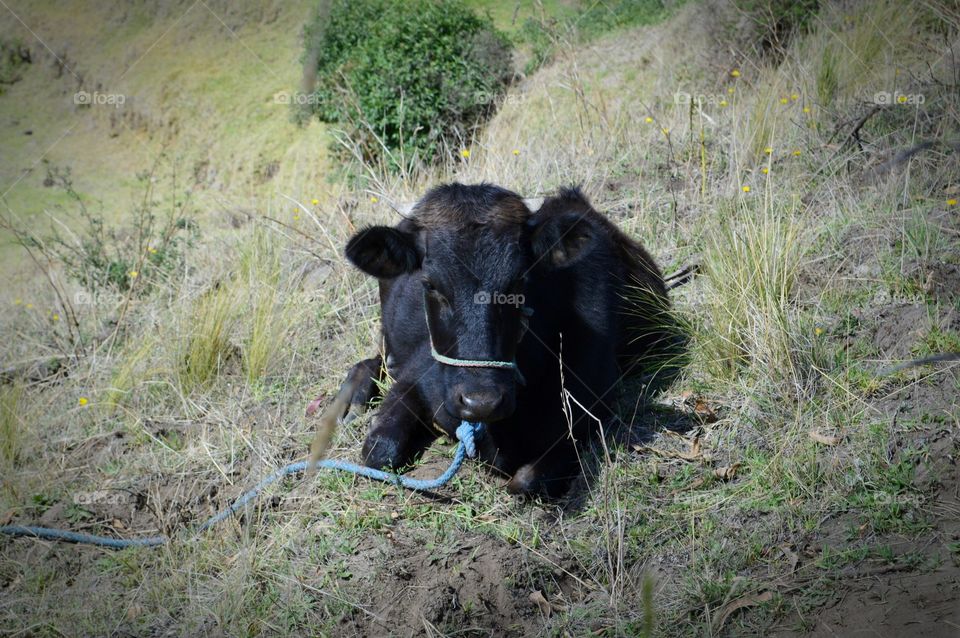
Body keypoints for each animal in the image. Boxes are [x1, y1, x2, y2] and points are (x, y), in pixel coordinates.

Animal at [332, 183, 671, 496]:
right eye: (429, 284)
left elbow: (525, 481)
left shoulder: (596, 405)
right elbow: (379, 451)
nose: (481, 402)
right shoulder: (415, 374)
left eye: (519, 280)